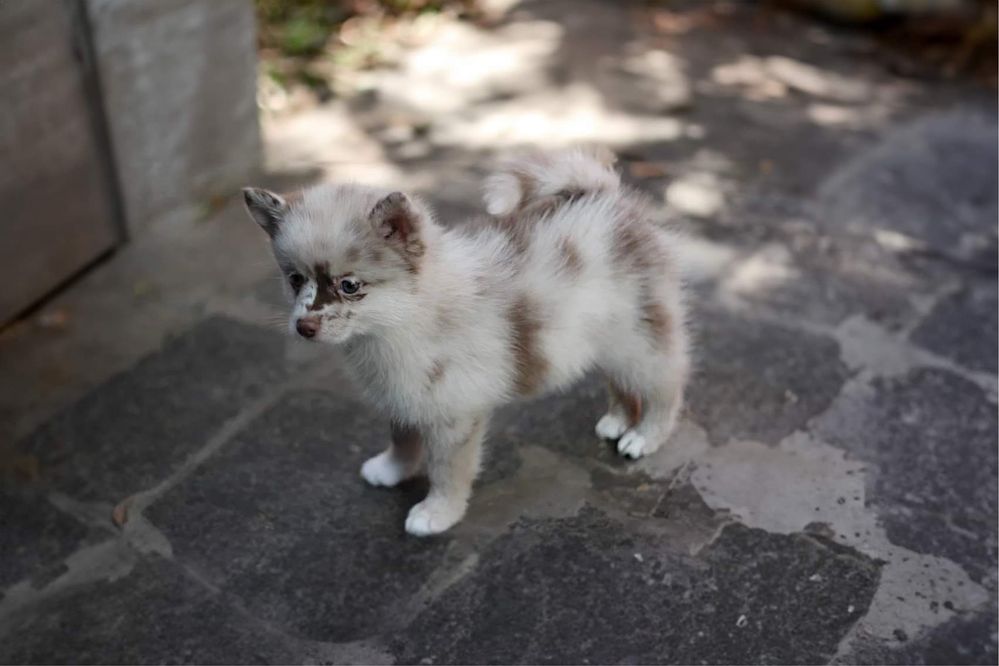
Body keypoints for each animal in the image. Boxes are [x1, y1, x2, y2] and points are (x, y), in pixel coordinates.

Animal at [246, 147, 692, 536]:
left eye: (350, 285)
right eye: (295, 279)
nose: (304, 327)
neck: (404, 317)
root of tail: (610, 199)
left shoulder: (453, 415)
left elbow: (447, 472)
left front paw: (436, 514)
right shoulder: (405, 396)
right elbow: (402, 439)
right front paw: (391, 470)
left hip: (639, 339)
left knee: (664, 387)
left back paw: (644, 436)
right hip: (609, 342)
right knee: (622, 382)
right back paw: (617, 419)